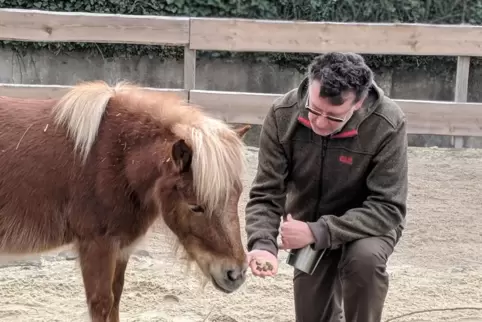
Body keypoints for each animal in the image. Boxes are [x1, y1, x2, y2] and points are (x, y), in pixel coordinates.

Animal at [0, 80, 252, 322]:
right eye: (196, 206)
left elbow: (116, 298)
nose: (236, 274)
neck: (115, 158)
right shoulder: (97, 246)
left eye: (237, 195)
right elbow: (102, 303)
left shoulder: (120, 249)